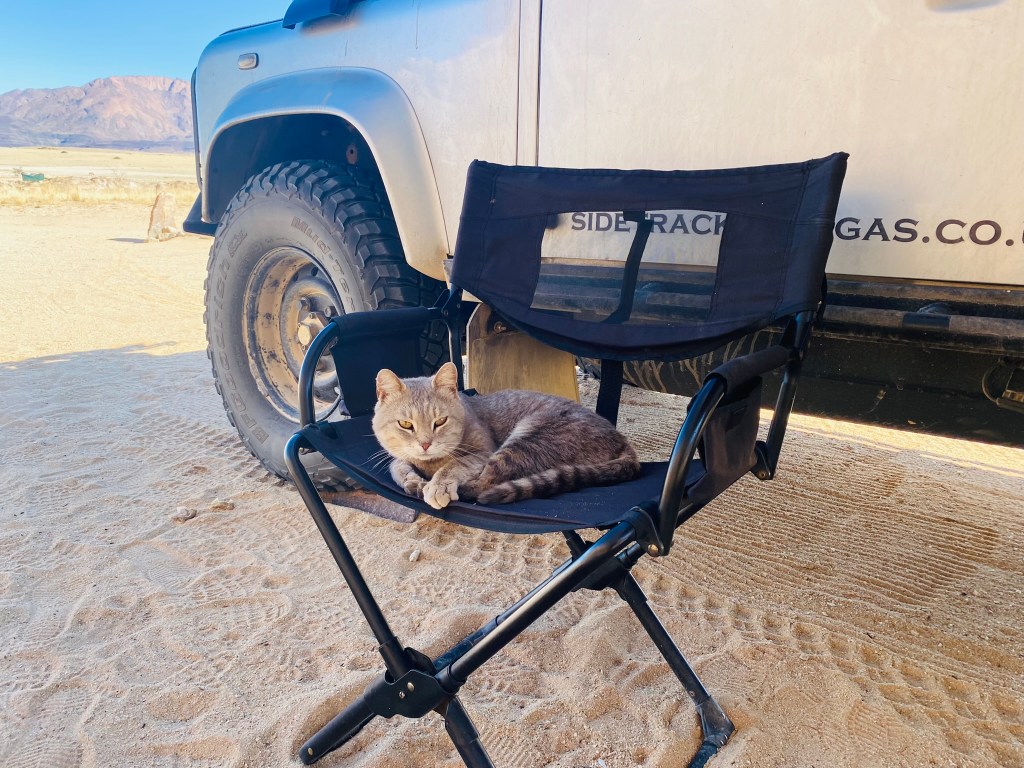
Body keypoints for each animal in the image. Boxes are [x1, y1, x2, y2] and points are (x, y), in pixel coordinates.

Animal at [371, 362, 641, 510]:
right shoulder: (398, 457)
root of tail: (621, 438)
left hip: (528, 438)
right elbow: (397, 466)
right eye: (406, 424)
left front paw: (436, 485)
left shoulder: (482, 452)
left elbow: (453, 466)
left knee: (486, 483)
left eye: (440, 421)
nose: (425, 444)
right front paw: (412, 480)